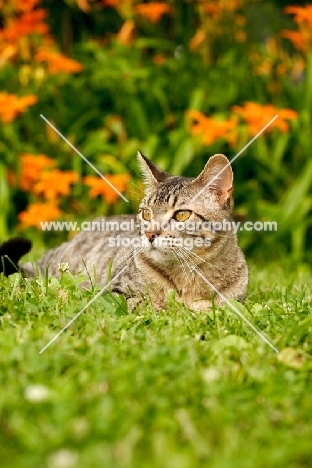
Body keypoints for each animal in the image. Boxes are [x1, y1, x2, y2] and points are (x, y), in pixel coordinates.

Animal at [0, 153, 249, 310]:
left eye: (181, 215)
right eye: (146, 214)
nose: (150, 235)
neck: (189, 278)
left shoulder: (236, 301)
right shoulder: (115, 293)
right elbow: (149, 305)